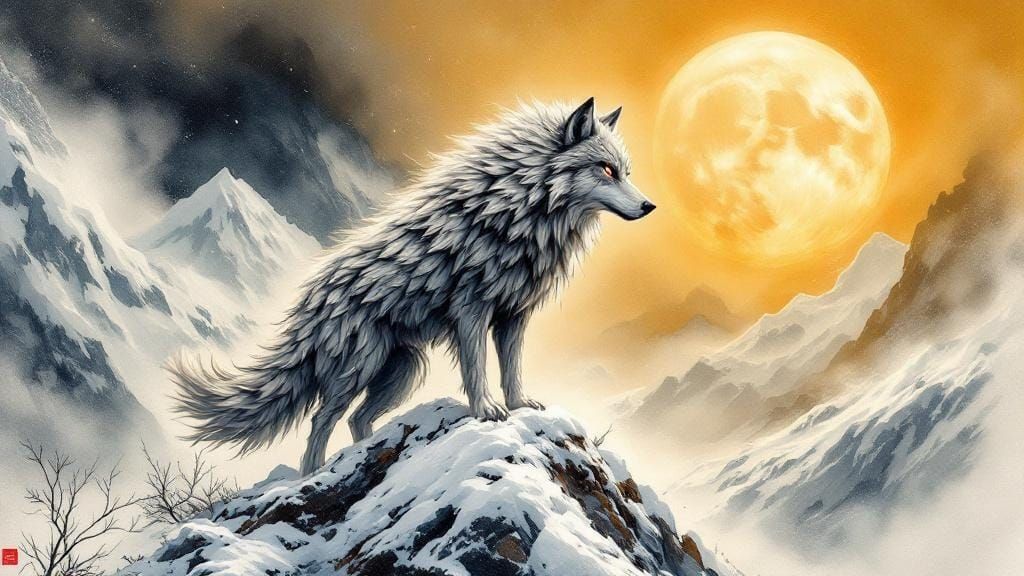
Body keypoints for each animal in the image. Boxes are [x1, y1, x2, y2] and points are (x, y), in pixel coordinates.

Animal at [171, 97, 655, 474]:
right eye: (606, 170)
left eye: (626, 171)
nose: (650, 206)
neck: (520, 212)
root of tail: (312, 299)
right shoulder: (471, 312)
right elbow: (478, 369)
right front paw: (487, 411)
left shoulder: (513, 316)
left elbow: (512, 369)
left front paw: (519, 405)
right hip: (358, 370)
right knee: (320, 421)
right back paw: (311, 474)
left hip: (403, 373)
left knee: (356, 421)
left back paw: (365, 453)